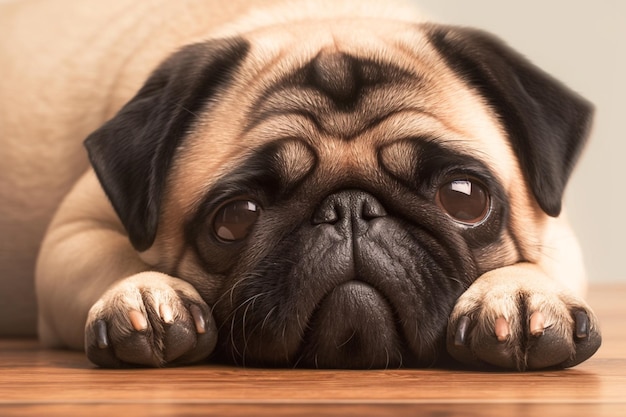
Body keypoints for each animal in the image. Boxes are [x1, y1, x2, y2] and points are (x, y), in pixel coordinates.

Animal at [23, 0, 600, 368]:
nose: (350, 208)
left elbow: (538, 262)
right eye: (237, 217)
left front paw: (519, 295)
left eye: (464, 198)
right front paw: (146, 294)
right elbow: (118, 258)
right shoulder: (72, 234)